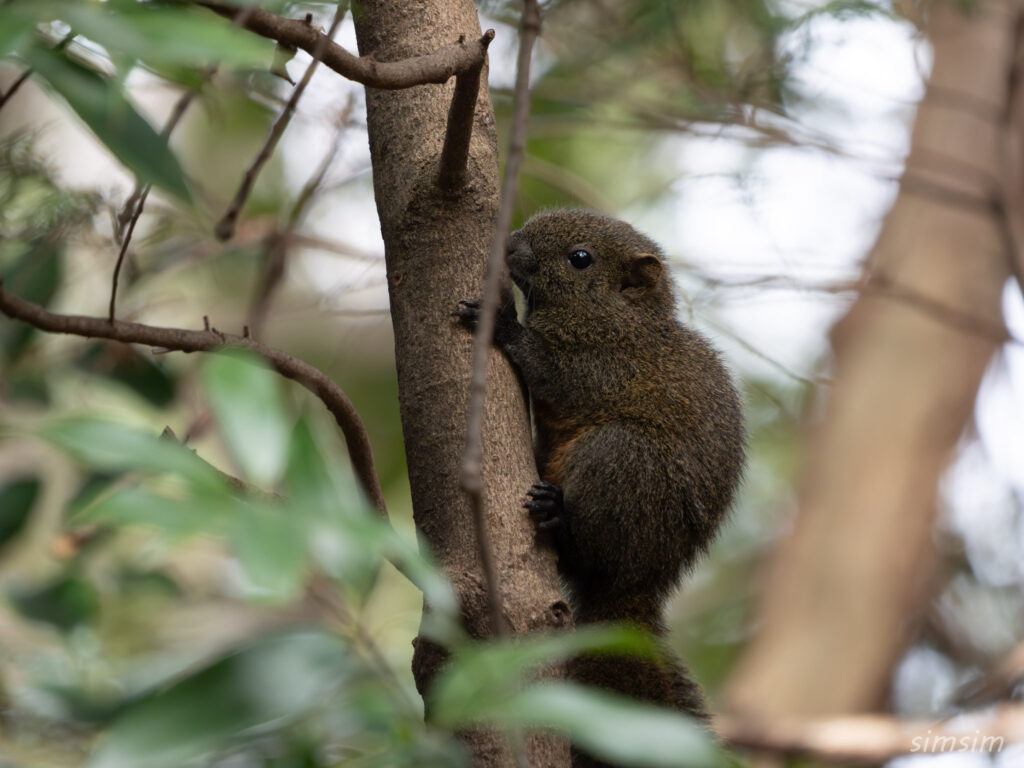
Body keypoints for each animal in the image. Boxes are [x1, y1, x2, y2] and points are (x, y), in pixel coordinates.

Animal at [456, 210, 745, 768]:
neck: (614, 315)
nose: (513, 244)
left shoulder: (607, 364)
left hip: (622, 459)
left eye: (580, 259)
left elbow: (557, 374)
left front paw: (503, 325)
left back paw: (558, 518)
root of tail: (636, 583)